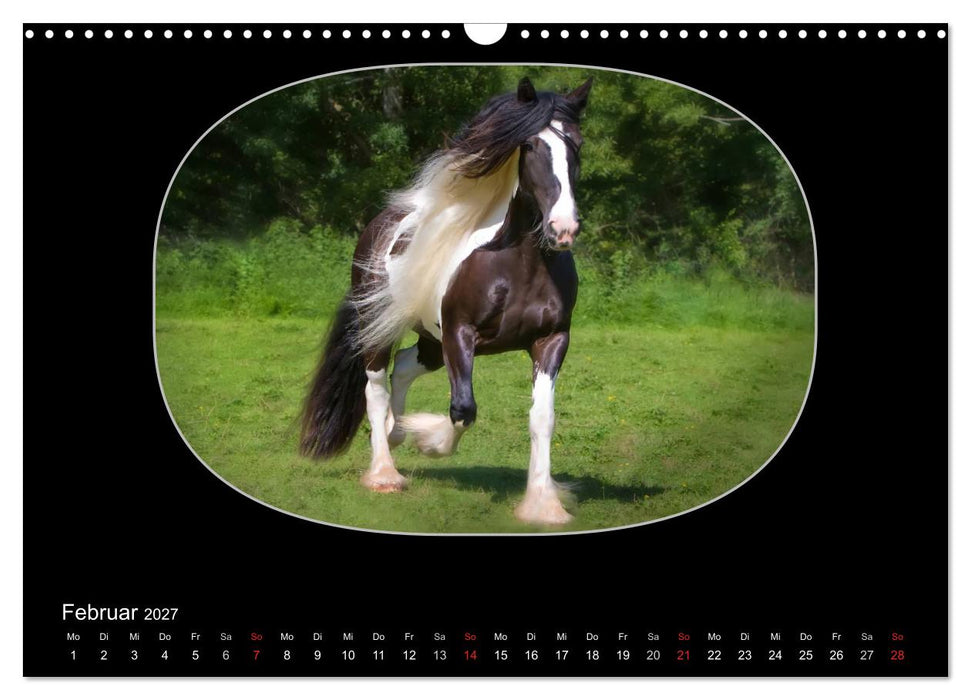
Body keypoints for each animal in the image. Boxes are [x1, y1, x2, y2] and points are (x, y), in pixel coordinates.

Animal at [300, 77, 592, 526]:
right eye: (530, 145)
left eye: (577, 143)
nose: (563, 228)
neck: (517, 264)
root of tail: (378, 226)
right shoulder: (459, 333)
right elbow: (463, 409)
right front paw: (431, 443)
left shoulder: (552, 339)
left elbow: (542, 418)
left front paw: (544, 504)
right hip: (383, 327)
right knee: (375, 386)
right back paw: (384, 472)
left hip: (431, 340)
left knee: (404, 366)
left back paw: (397, 431)